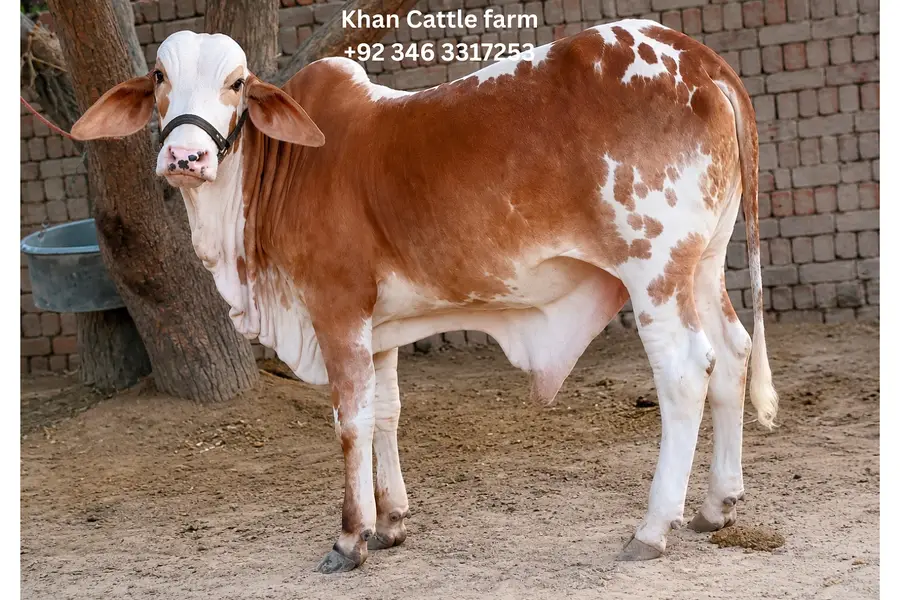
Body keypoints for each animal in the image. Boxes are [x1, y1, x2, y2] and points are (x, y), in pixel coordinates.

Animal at [70, 20, 778, 573]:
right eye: (160, 76)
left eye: (237, 83)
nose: (185, 158)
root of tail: (696, 55)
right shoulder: (379, 329)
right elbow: (386, 413)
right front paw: (390, 523)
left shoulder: (337, 310)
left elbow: (350, 421)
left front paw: (350, 538)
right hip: (703, 267)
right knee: (733, 353)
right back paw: (717, 505)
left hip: (653, 271)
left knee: (686, 372)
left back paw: (653, 528)